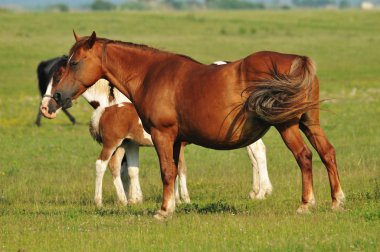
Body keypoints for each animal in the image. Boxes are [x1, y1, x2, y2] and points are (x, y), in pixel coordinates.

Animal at [40, 32, 344, 219]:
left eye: (74, 63)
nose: (55, 99)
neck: (151, 74)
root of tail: (296, 60)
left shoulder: (162, 135)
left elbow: (166, 171)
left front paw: (163, 210)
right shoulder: (175, 140)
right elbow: (174, 171)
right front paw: (173, 204)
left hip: (287, 125)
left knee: (304, 157)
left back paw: (306, 204)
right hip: (309, 122)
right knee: (327, 153)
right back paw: (337, 200)